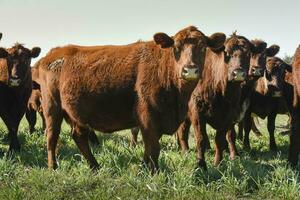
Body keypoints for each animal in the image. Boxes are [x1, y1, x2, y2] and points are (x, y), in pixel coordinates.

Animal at [34, 25, 225, 171]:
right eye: (176, 47)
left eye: (203, 47)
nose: (189, 69)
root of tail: (53, 53)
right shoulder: (147, 116)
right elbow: (153, 147)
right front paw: (154, 172)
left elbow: (149, 148)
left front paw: (144, 168)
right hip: (52, 107)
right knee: (51, 136)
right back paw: (53, 166)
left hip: (77, 115)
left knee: (79, 137)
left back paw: (95, 166)